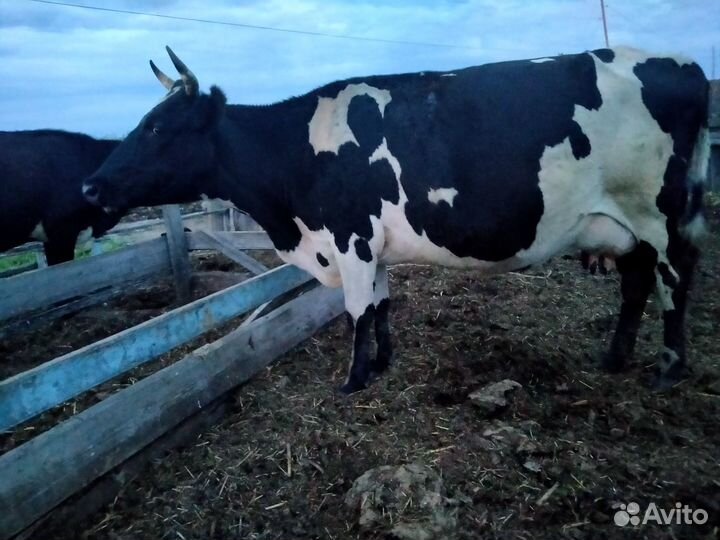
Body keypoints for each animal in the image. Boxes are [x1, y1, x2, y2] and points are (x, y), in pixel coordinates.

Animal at [83, 46, 709, 393]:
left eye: (157, 127)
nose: (91, 185)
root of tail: (686, 65)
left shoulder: (349, 237)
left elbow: (357, 312)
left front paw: (353, 381)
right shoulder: (371, 244)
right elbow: (382, 306)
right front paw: (383, 365)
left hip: (659, 214)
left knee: (676, 280)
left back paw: (669, 368)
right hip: (625, 226)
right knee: (636, 285)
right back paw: (615, 359)